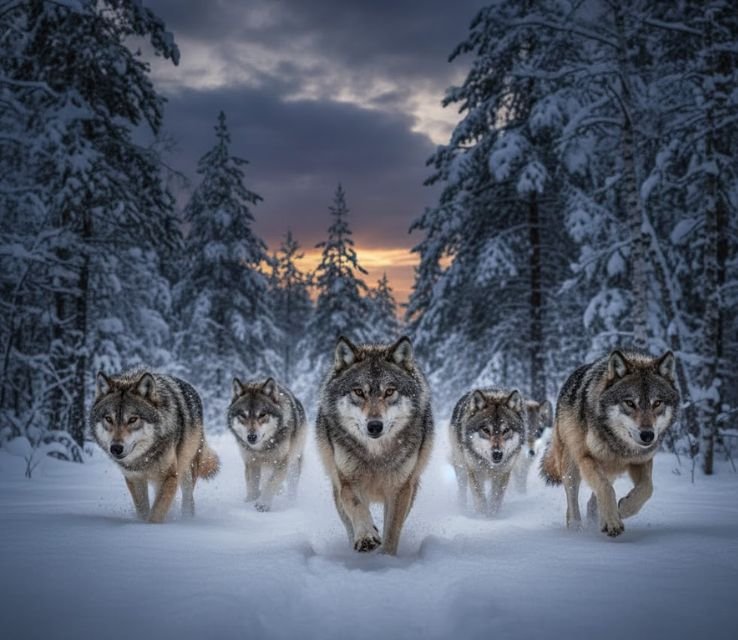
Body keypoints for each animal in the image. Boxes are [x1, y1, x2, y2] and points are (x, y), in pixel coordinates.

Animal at [90, 370, 220, 523]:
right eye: (109, 419)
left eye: (133, 419)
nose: (116, 448)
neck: (144, 458)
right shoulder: (134, 478)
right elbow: (143, 510)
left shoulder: (170, 475)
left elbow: (157, 512)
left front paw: (151, 527)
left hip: (186, 470)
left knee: (188, 500)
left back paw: (187, 519)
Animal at [227, 377, 306, 512]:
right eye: (243, 415)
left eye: (262, 414)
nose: (251, 437)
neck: (261, 449)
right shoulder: (251, 462)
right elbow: (252, 485)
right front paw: (250, 501)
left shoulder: (282, 461)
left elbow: (272, 482)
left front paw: (263, 504)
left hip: (294, 462)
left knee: (291, 485)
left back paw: (291, 502)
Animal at [315, 336, 433, 555]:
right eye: (359, 392)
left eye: (389, 391)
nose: (375, 426)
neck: (376, 455)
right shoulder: (347, 482)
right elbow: (357, 507)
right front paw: (367, 537)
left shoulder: (400, 488)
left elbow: (392, 530)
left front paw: (386, 557)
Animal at [449, 388, 527, 516]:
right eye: (486, 430)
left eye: (506, 430)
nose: (497, 454)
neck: (489, 465)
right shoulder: (474, 471)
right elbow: (480, 499)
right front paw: (483, 517)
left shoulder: (503, 473)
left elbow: (496, 499)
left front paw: (492, 516)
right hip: (461, 467)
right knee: (462, 490)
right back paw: (462, 508)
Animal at [540, 349, 678, 537]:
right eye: (630, 403)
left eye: (657, 403)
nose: (648, 435)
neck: (620, 446)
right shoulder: (586, 458)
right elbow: (605, 488)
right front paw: (612, 521)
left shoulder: (641, 461)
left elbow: (647, 488)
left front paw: (625, 509)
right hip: (572, 466)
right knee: (573, 502)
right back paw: (576, 529)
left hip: (610, 470)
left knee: (592, 501)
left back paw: (596, 519)